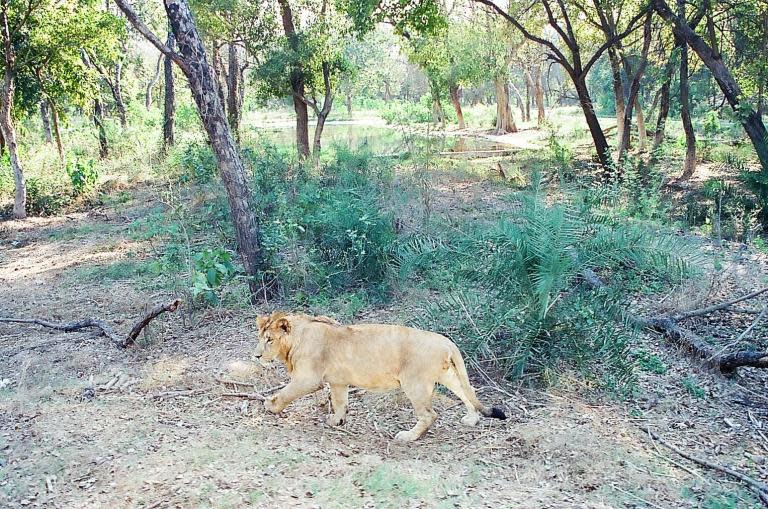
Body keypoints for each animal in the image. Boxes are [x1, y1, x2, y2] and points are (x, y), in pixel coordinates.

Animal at [254, 310, 504, 440]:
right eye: (260, 337)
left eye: (269, 340)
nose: (256, 355)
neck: (298, 336)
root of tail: (446, 341)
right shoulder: (338, 381)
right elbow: (340, 402)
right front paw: (337, 421)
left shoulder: (308, 379)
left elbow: (285, 393)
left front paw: (270, 406)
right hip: (447, 375)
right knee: (466, 393)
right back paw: (471, 419)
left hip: (415, 384)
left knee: (429, 415)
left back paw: (408, 436)